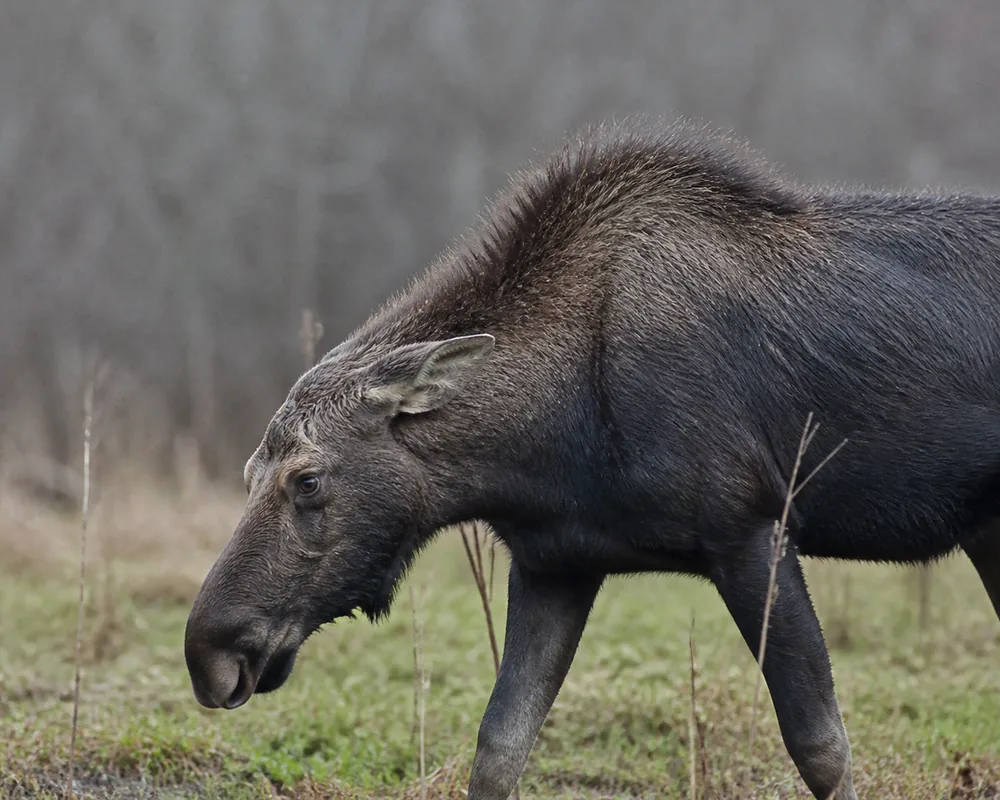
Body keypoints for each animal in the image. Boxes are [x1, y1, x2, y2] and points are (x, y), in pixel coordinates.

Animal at [184, 118, 1000, 800]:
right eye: (250, 473)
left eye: (308, 479)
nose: (210, 651)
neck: (553, 438)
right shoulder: (556, 562)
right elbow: (499, 747)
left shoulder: (752, 530)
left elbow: (821, 747)